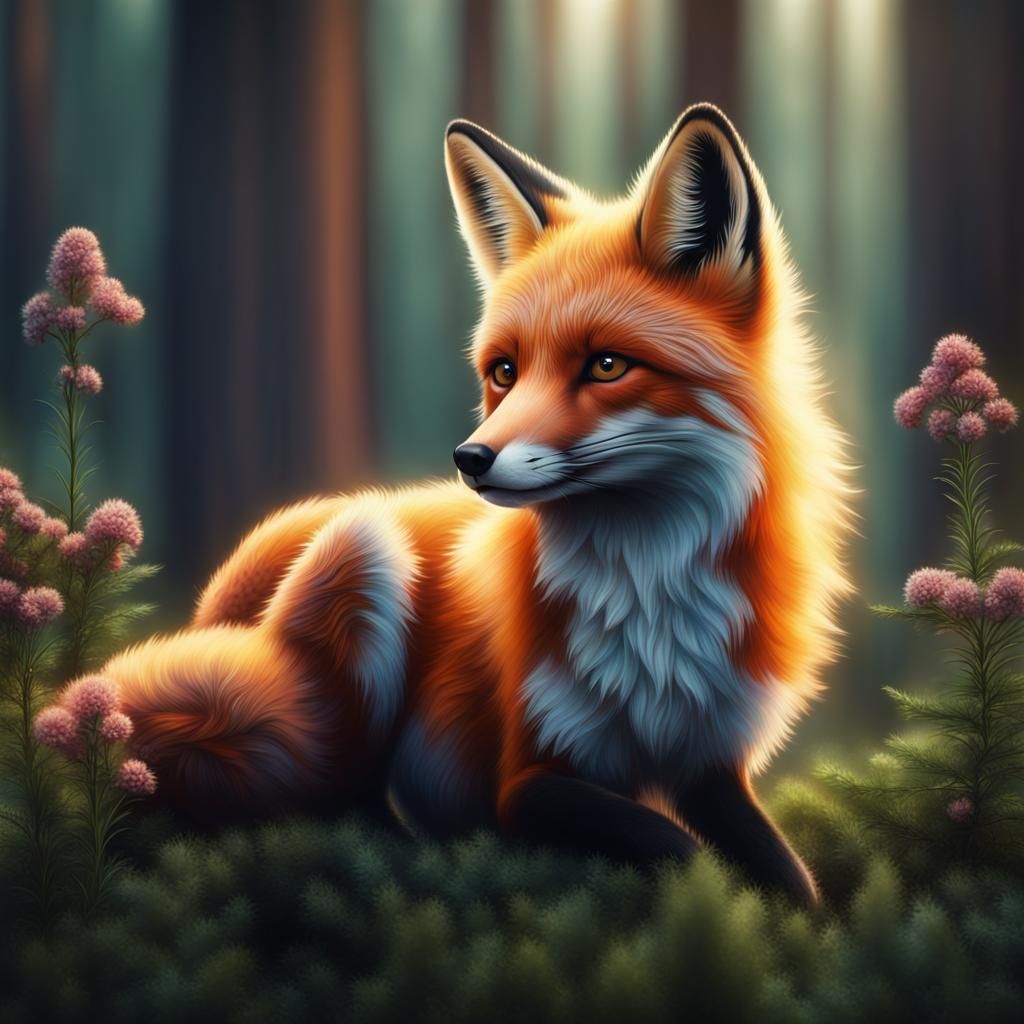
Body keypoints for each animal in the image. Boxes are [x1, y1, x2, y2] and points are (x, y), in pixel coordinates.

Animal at [82, 103, 851, 906]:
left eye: (607, 365)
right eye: (504, 372)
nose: (470, 459)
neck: (649, 600)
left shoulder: (712, 764)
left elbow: (789, 877)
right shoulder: (529, 780)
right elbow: (677, 848)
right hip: (364, 556)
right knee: (337, 796)